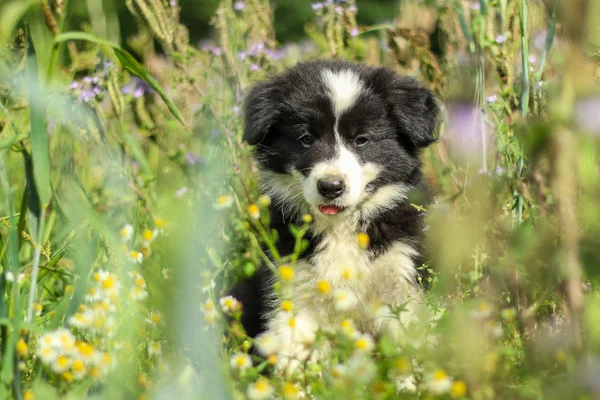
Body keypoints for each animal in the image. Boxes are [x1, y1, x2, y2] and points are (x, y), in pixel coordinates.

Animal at [232, 60, 438, 376]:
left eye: (362, 140)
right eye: (306, 139)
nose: (330, 187)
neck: (341, 228)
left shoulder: (403, 276)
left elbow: (410, 345)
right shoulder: (294, 285)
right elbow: (294, 355)